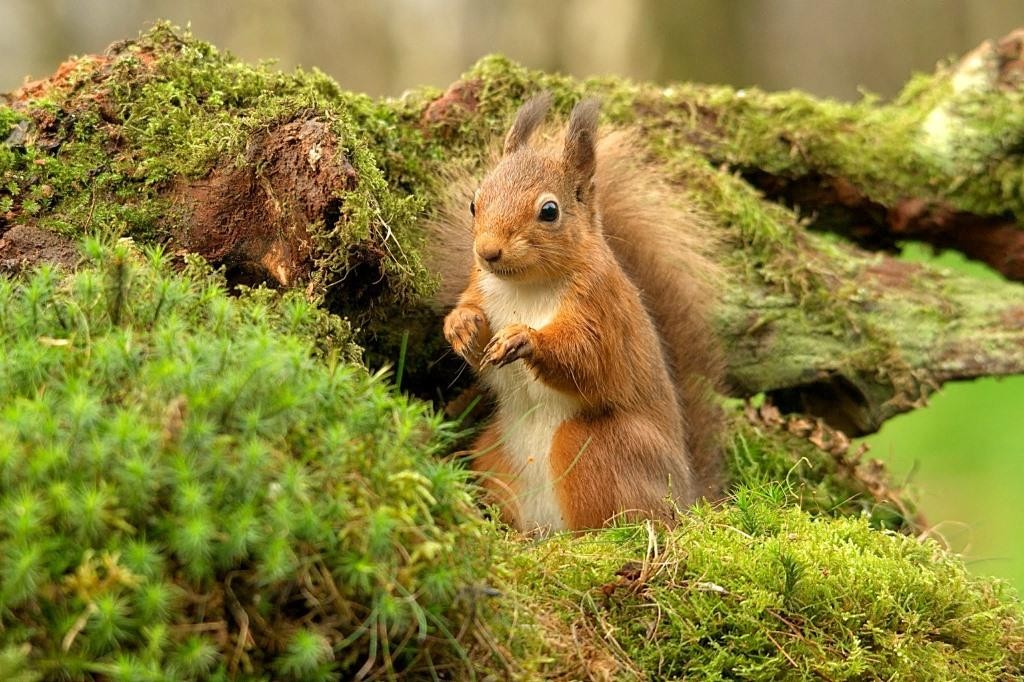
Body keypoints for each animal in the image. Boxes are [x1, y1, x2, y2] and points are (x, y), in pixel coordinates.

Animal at [428, 94, 724, 532]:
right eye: (473, 203)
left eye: (549, 211)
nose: (487, 252)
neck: (526, 288)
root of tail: (684, 497)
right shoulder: (480, 287)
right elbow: (474, 326)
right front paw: (461, 326)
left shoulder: (601, 308)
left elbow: (588, 359)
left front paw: (524, 338)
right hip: (494, 455)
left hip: (594, 448)